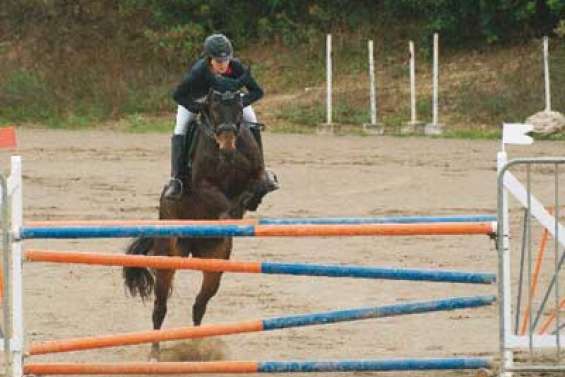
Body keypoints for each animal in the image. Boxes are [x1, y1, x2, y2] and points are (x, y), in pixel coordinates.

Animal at [122, 89, 276, 360]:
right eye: (213, 110)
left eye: (239, 110)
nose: (227, 148)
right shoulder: (203, 183)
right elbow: (220, 199)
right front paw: (230, 214)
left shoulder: (254, 172)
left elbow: (258, 185)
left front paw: (250, 200)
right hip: (167, 260)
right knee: (160, 307)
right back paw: (155, 354)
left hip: (214, 263)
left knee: (199, 304)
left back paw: (197, 347)